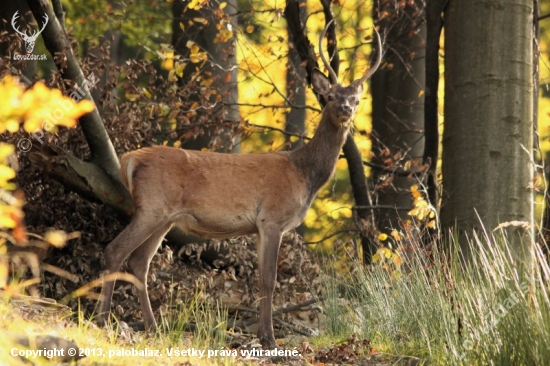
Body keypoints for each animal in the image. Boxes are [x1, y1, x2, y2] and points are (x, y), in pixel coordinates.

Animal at [98, 21, 384, 348]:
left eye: (357, 99)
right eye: (332, 96)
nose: (346, 109)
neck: (304, 174)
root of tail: (129, 159)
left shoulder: (259, 227)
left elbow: (260, 278)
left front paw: (262, 335)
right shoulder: (272, 218)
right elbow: (270, 279)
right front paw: (270, 339)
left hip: (163, 218)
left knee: (139, 262)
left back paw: (152, 326)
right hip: (152, 207)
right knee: (115, 250)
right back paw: (103, 319)